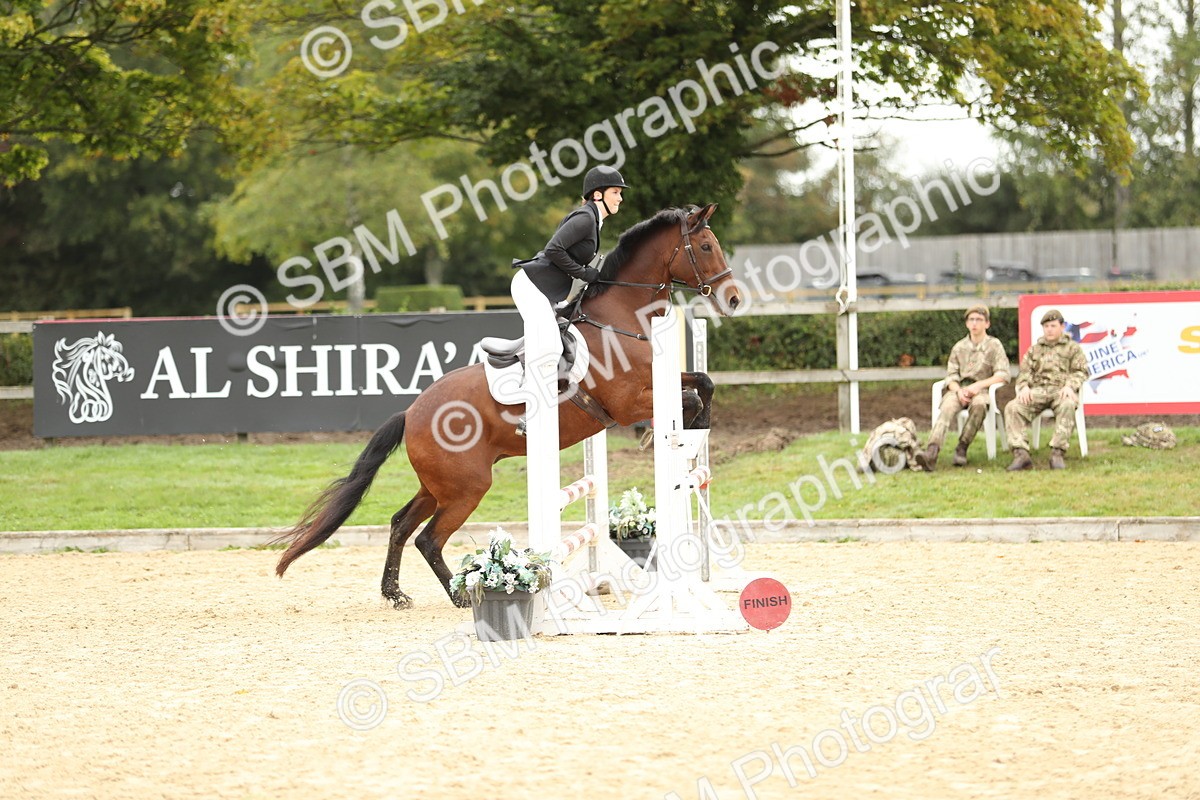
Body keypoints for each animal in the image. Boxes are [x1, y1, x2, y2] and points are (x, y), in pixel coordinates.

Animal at [273, 203, 742, 608]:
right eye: (705, 246)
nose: (734, 298)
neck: (620, 320)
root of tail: (411, 413)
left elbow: (703, 381)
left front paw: (696, 428)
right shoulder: (627, 403)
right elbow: (687, 396)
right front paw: (677, 431)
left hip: (438, 486)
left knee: (401, 524)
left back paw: (395, 594)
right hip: (467, 488)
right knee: (428, 538)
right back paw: (462, 597)